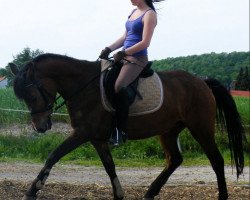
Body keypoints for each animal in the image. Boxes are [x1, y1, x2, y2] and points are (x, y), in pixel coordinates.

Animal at [9, 53, 244, 200]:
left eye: (31, 96)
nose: (40, 127)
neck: (84, 85)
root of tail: (202, 81)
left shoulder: (82, 133)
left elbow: (54, 155)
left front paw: (32, 190)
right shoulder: (97, 138)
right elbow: (109, 166)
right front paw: (119, 194)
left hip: (200, 128)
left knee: (216, 160)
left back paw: (222, 195)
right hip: (168, 130)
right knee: (174, 160)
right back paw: (150, 192)